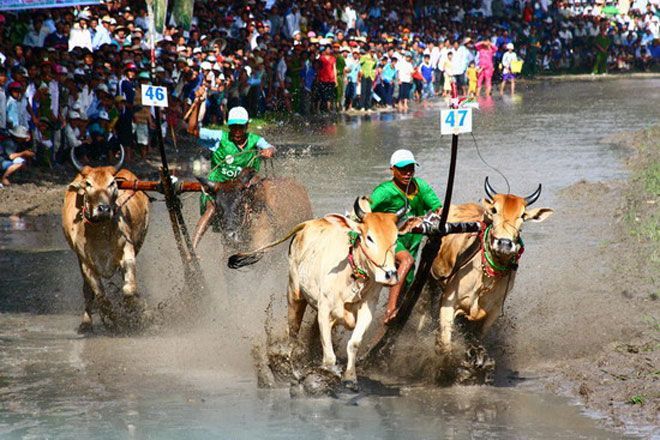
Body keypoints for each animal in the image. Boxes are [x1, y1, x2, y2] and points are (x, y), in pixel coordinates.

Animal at [62, 145, 150, 333]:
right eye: (88, 184)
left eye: (112, 183)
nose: (103, 209)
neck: (99, 232)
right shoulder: (86, 264)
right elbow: (100, 297)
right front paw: (116, 322)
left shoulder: (128, 251)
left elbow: (129, 289)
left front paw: (142, 312)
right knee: (87, 291)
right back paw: (86, 322)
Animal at [228, 197, 407, 389]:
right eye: (369, 237)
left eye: (396, 239)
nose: (390, 274)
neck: (351, 274)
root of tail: (308, 223)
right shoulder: (325, 308)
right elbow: (329, 357)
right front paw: (325, 376)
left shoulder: (367, 307)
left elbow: (354, 344)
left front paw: (350, 378)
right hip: (294, 295)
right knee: (292, 333)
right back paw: (292, 367)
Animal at [428, 177, 553, 355]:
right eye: (494, 210)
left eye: (522, 215)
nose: (505, 243)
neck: (484, 277)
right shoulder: (448, 302)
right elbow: (445, 346)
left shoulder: (493, 313)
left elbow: (476, 341)